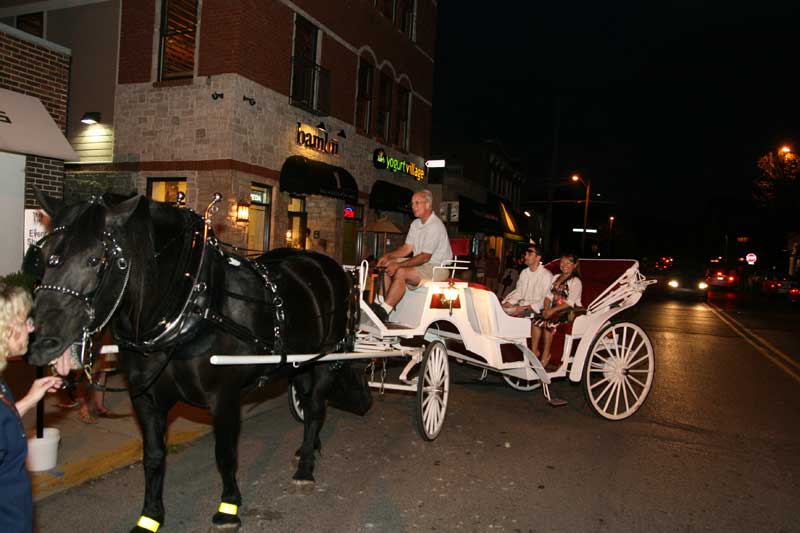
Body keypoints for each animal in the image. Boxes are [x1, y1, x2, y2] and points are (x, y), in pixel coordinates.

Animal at [25, 189, 362, 528]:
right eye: (41, 256)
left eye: (95, 259)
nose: (41, 344)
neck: (191, 302)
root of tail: (329, 265)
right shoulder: (146, 398)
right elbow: (154, 456)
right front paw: (150, 515)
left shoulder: (224, 396)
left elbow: (225, 453)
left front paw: (228, 507)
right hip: (300, 361)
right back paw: (309, 448)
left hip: (325, 359)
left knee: (316, 408)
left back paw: (305, 468)